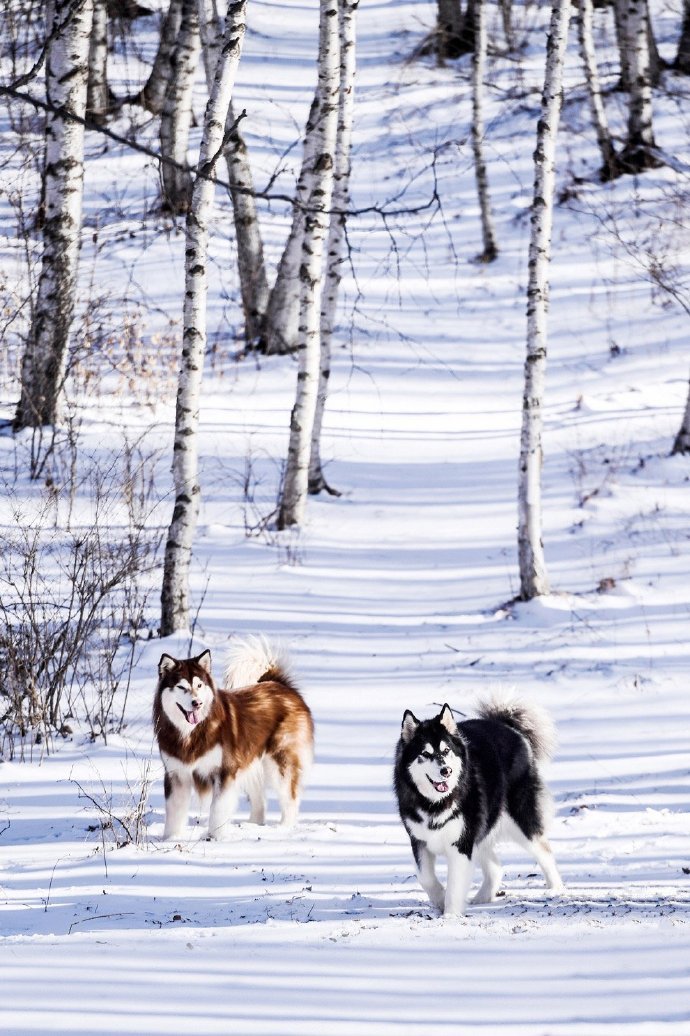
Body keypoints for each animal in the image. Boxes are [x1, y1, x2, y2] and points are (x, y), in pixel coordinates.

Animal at [152, 629, 310, 841]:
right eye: (181, 687)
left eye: (200, 686)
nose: (197, 703)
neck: (191, 733)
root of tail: (280, 684)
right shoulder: (177, 775)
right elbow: (174, 813)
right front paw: (171, 839)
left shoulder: (225, 772)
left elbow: (217, 809)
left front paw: (215, 837)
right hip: (250, 762)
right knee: (260, 799)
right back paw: (254, 825)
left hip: (279, 762)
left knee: (290, 796)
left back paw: (285, 827)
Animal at [395, 704, 563, 915]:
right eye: (425, 754)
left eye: (446, 750)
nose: (446, 771)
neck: (436, 803)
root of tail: (506, 726)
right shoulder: (419, 840)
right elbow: (425, 877)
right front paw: (440, 900)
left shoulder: (461, 843)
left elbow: (455, 885)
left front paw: (450, 915)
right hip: (482, 827)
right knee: (496, 867)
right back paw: (483, 897)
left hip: (519, 820)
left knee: (544, 851)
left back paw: (556, 888)